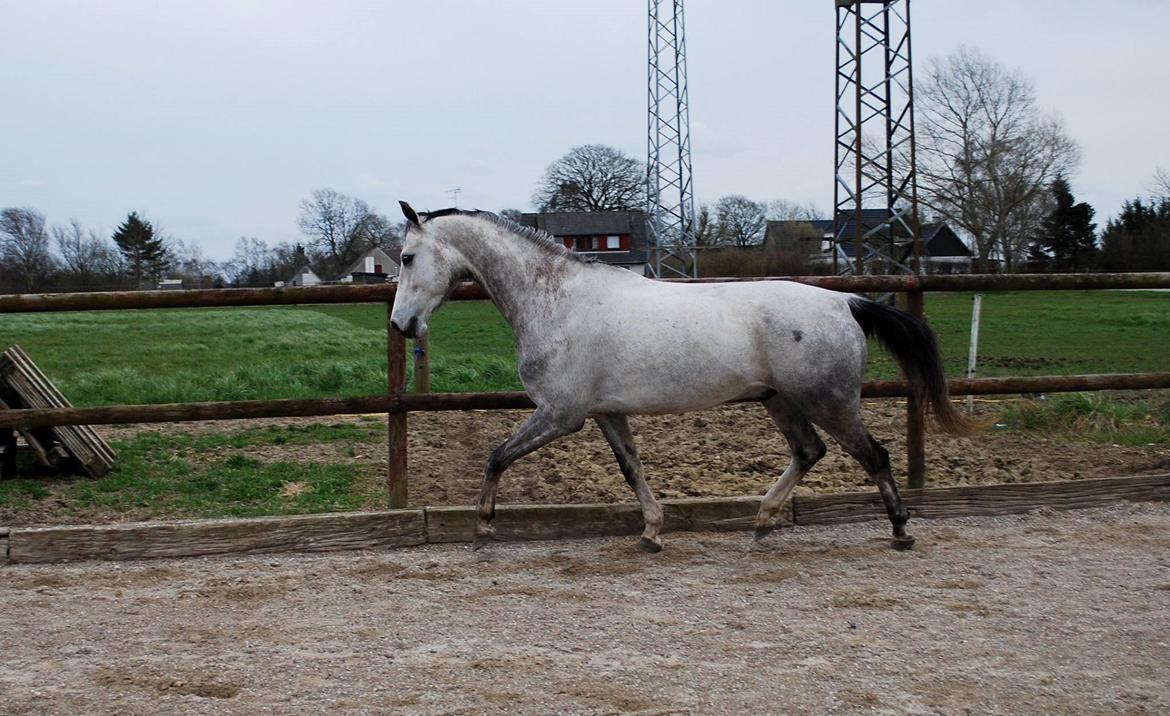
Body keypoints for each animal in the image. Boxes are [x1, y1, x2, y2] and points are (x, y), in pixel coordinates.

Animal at [388, 201, 973, 554]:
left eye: (408, 256)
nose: (401, 325)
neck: (554, 300)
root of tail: (845, 302)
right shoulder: (606, 412)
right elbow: (632, 470)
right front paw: (651, 532)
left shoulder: (561, 414)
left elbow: (497, 456)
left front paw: (483, 525)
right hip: (780, 400)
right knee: (810, 452)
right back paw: (762, 520)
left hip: (828, 401)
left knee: (874, 455)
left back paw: (900, 530)